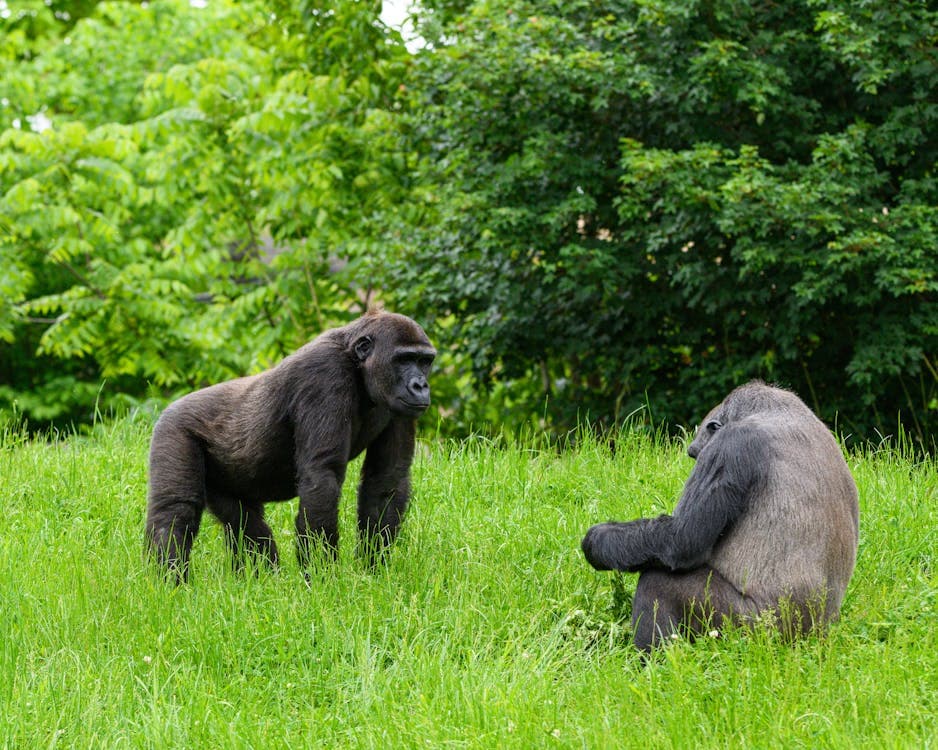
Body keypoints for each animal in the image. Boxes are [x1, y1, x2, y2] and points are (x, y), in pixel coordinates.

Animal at [145, 310, 436, 583]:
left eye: (424, 361)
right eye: (404, 359)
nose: (420, 385)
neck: (357, 365)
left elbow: (387, 480)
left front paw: (372, 571)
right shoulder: (324, 374)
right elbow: (322, 477)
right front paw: (323, 578)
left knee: (244, 522)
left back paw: (262, 581)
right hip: (173, 429)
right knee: (175, 511)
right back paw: (169, 583)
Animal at [581, 381, 859, 651]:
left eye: (696, 455)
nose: (694, 461)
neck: (777, 411)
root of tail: (815, 636)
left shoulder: (731, 443)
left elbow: (680, 538)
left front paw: (597, 541)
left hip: (757, 631)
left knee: (658, 582)